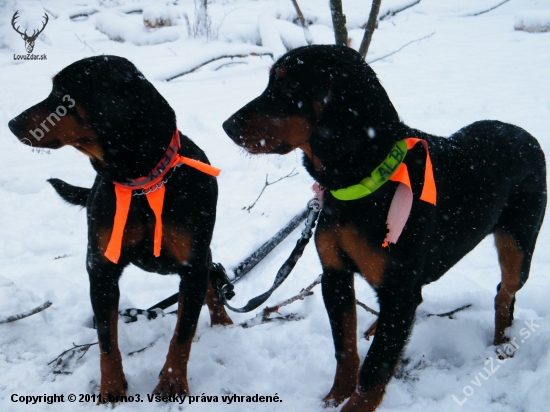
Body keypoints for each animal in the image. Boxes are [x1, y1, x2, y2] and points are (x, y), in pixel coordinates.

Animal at [8, 56, 233, 400]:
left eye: (62, 95)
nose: (11, 123)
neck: (141, 183)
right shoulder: (101, 268)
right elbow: (106, 339)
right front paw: (112, 388)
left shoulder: (192, 262)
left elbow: (182, 332)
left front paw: (172, 382)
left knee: (210, 280)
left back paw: (223, 321)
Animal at [224, 43, 548, 410]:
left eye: (292, 85)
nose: (227, 126)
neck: (364, 180)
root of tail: (526, 135)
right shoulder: (335, 275)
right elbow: (346, 350)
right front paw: (333, 398)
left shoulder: (399, 289)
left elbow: (375, 368)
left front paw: (354, 405)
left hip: (518, 245)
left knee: (504, 291)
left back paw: (502, 342)